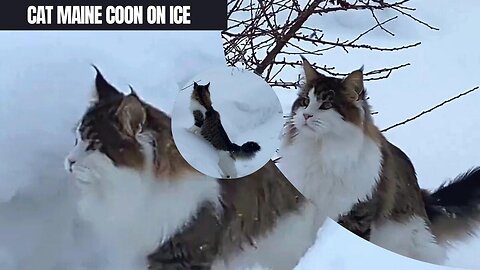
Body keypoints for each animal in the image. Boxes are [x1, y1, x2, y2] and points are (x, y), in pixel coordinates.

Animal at [278, 56, 480, 264]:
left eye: (326, 105)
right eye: (305, 101)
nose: (306, 115)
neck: (321, 152)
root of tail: (424, 201)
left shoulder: (356, 214)